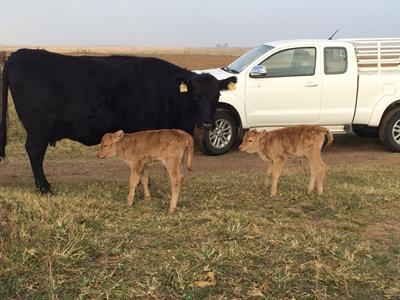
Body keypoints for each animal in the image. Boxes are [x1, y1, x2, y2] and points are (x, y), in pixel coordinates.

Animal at [0, 49, 236, 192]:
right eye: (195, 94)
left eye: (217, 95)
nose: (207, 123)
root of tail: (19, 54)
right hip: (38, 128)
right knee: (34, 151)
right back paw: (44, 187)